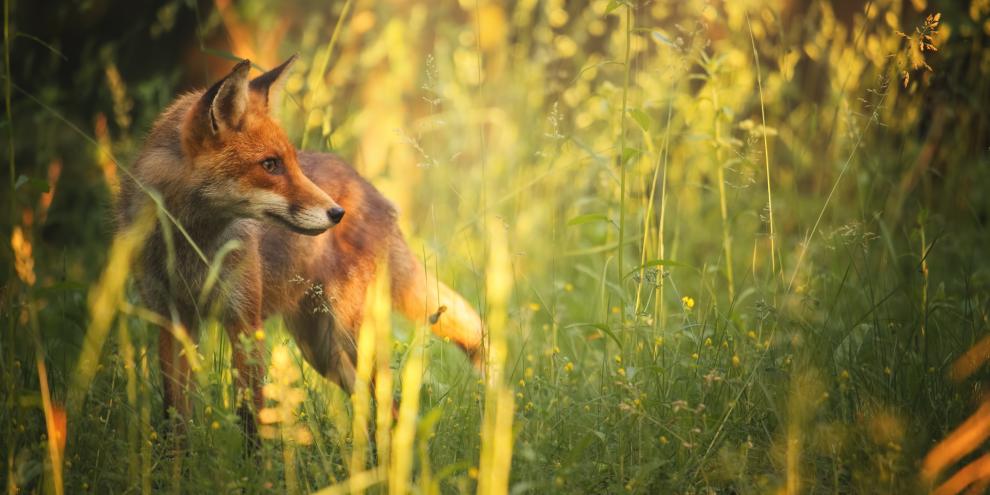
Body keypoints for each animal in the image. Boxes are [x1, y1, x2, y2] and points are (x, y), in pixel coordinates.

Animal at [117, 56, 483, 437]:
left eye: (291, 161)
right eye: (270, 164)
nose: (337, 212)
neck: (190, 246)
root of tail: (371, 190)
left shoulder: (245, 321)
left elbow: (251, 417)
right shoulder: (170, 319)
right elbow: (175, 417)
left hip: (350, 338)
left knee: (390, 404)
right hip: (321, 350)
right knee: (371, 405)